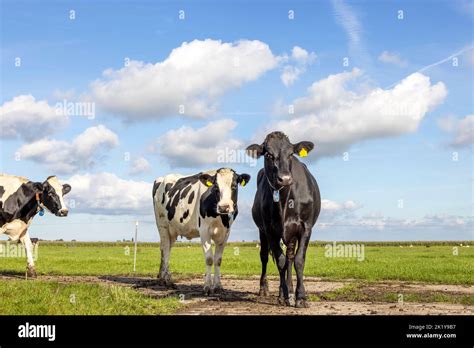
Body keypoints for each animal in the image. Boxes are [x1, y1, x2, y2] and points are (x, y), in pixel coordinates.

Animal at [246, 130, 320, 308]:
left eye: (291, 154)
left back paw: (291, 289)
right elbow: (280, 261)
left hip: (291, 234)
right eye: (268, 154)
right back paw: (267, 289)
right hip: (263, 231)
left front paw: (301, 297)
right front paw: (283, 296)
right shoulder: (270, 229)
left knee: (290, 258)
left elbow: (298, 260)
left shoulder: (306, 227)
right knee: (266, 256)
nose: (285, 178)